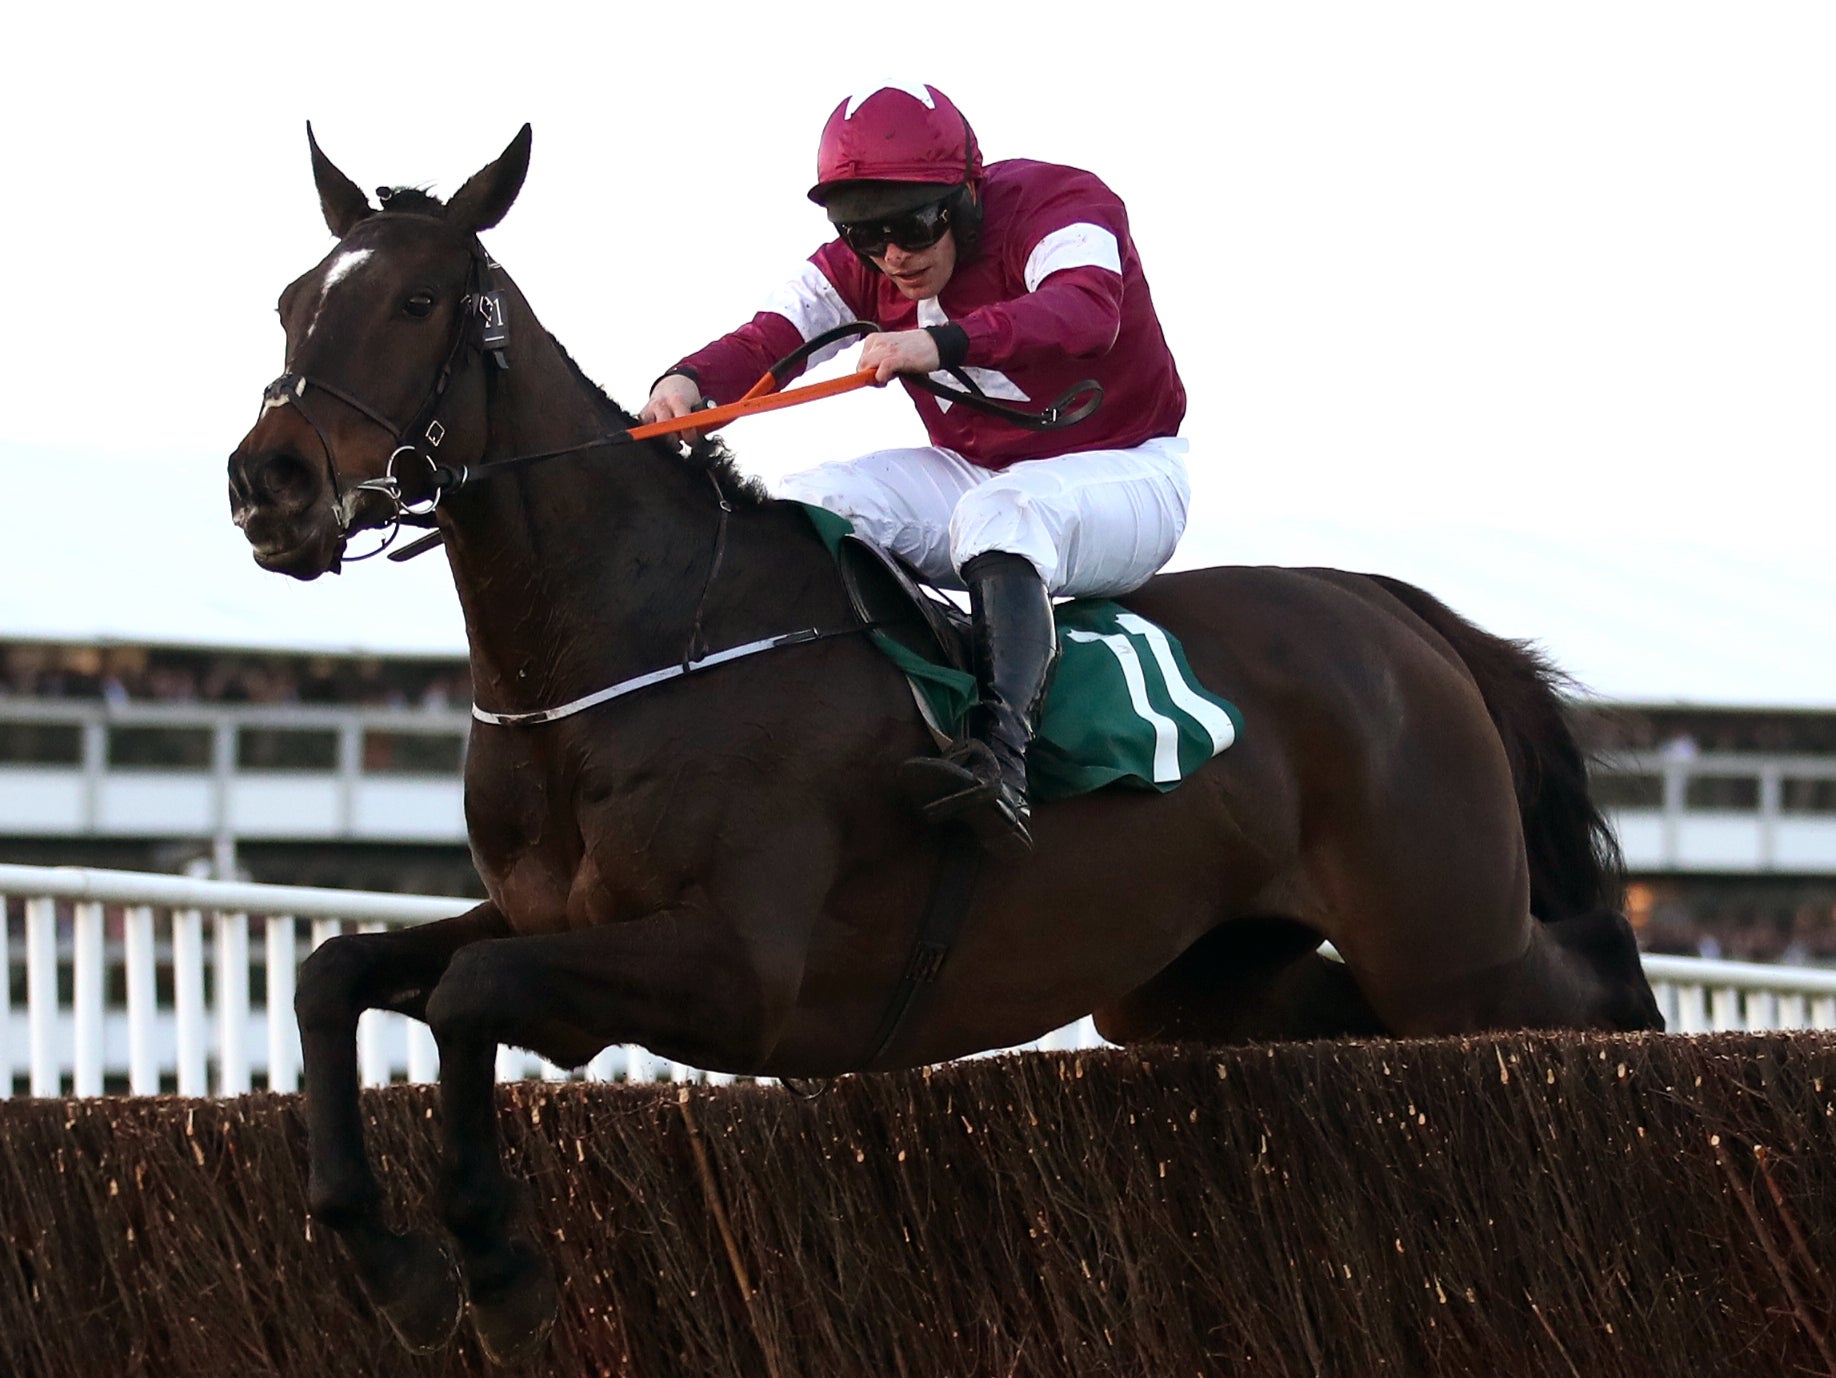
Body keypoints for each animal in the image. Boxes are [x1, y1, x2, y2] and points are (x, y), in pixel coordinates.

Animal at [222, 123, 1659, 1365]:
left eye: (416, 302)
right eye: (291, 300)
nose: (268, 482)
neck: (637, 637)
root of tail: (1392, 609)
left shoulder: (740, 969)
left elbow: (468, 996)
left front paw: (499, 1266)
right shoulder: (547, 918)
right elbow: (336, 974)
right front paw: (392, 1261)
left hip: (1450, 942)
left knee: (1586, 970)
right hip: (1195, 981)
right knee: (1350, 1023)